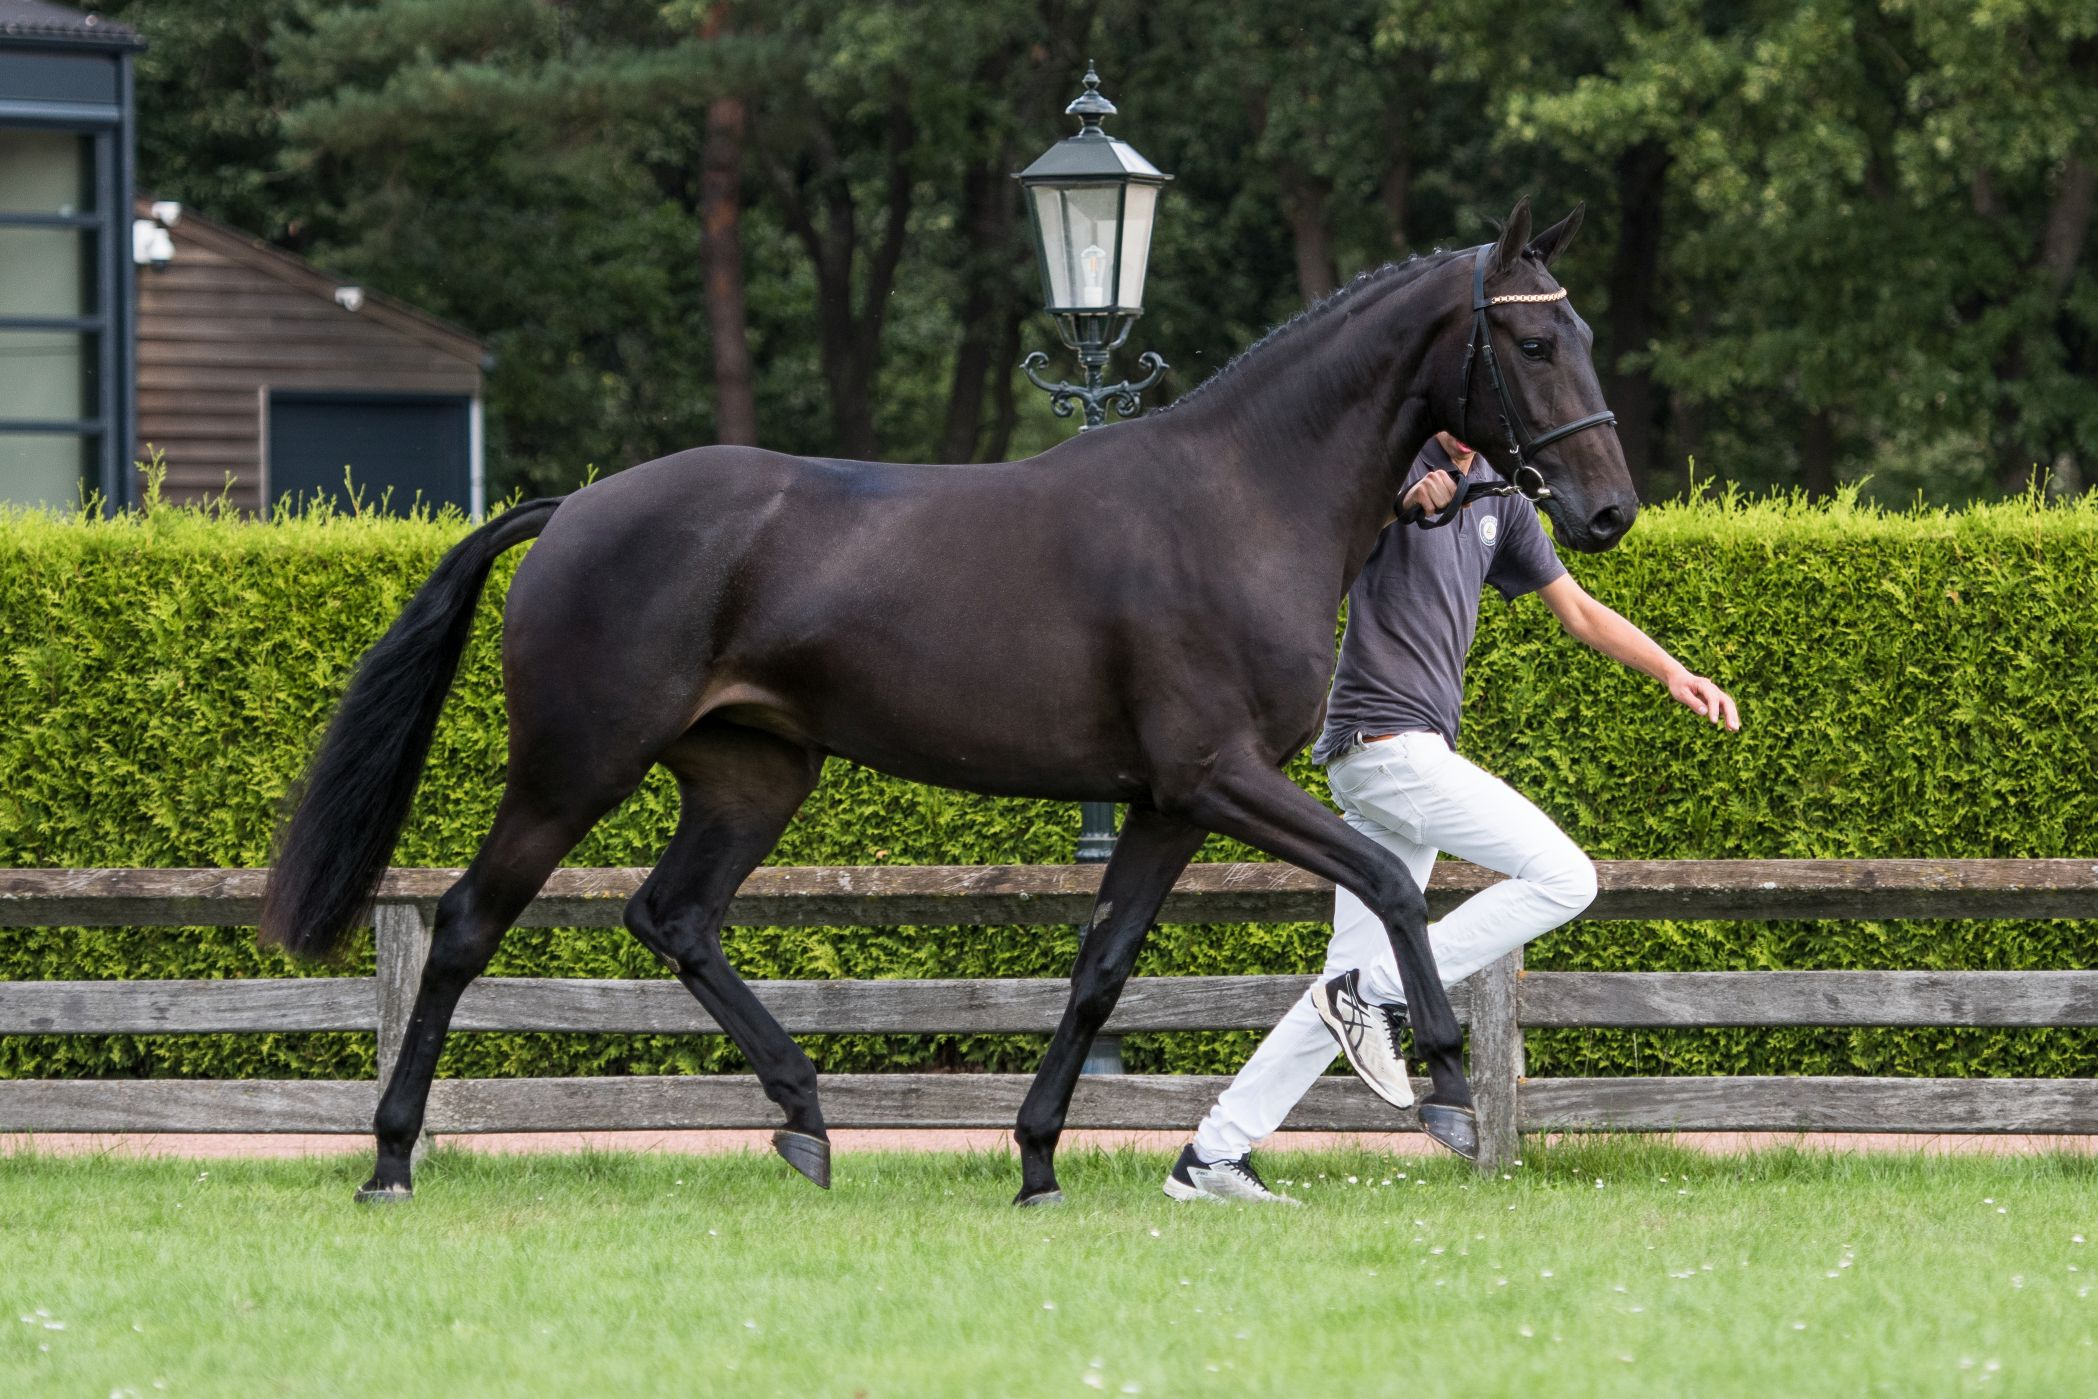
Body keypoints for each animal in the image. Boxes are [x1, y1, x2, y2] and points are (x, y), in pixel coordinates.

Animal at [259, 197, 1636, 1206]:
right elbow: (1394, 884)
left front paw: (1035, 1162)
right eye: (1528, 343)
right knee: (466, 924)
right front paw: (1444, 1082)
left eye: (1580, 337)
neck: (1238, 497)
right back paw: (391, 1159)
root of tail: (573, 511)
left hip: (754, 774)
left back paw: (806, 1119)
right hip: (572, 769)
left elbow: (1101, 968)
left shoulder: (1165, 802)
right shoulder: (1220, 777)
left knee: (674, 916)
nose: (1609, 510)